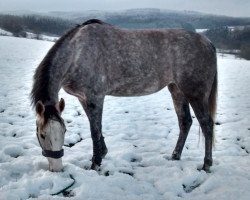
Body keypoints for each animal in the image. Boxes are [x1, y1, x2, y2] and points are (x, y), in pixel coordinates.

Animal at [30, 18, 217, 172]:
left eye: (63, 131)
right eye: (42, 134)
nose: (56, 168)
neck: (77, 53)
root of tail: (208, 43)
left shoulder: (95, 97)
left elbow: (95, 131)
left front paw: (95, 164)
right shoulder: (84, 98)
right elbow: (96, 127)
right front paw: (103, 153)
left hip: (196, 93)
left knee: (207, 125)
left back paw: (206, 165)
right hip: (177, 90)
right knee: (185, 122)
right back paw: (175, 156)